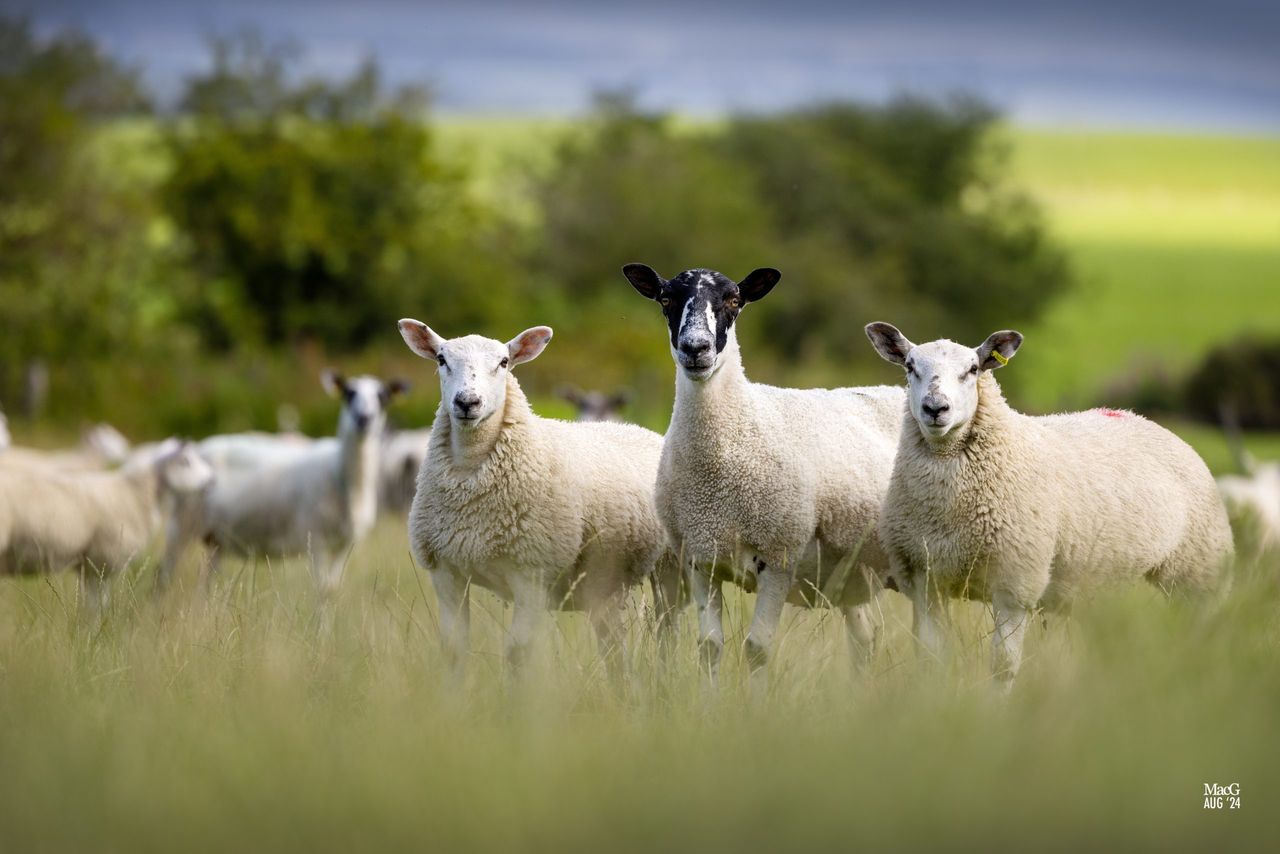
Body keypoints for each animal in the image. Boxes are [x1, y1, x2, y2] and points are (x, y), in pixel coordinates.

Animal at [0, 439, 213, 616]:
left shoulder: (88, 567)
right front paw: (95, 633)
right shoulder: (102, 562)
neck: (135, 494)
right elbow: (98, 606)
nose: (210, 481)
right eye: (185, 461)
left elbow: (91, 605)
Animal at [154, 372, 406, 593]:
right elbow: (321, 589)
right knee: (164, 574)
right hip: (183, 522)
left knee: (207, 579)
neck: (341, 475)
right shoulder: (315, 539)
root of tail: (197, 448)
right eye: (348, 393)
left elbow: (331, 589)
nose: (363, 419)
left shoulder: (345, 545)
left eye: (383, 397)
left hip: (217, 537)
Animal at [397, 319, 682, 670]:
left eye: (504, 362)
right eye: (441, 359)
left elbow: (518, 653)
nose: (467, 402)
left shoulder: (531, 574)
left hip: (670, 567)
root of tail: (643, 430)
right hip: (605, 583)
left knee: (666, 633)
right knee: (614, 648)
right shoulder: (446, 572)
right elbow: (454, 650)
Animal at [623, 264, 904, 678]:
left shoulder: (779, 557)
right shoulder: (700, 559)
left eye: (734, 301)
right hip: (852, 574)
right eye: (665, 298)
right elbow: (709, 647)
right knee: (864, 640)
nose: (695, 348)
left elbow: (757, 649)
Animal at [865, 321, 1234, 686]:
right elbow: (931, 660)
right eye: (910, 367)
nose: (935, 408)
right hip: (1105, 580)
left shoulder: (1016, 584)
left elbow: (1003, 666)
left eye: (972, 370)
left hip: (1199, 570)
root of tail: (1140, 418)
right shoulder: (924, 582)